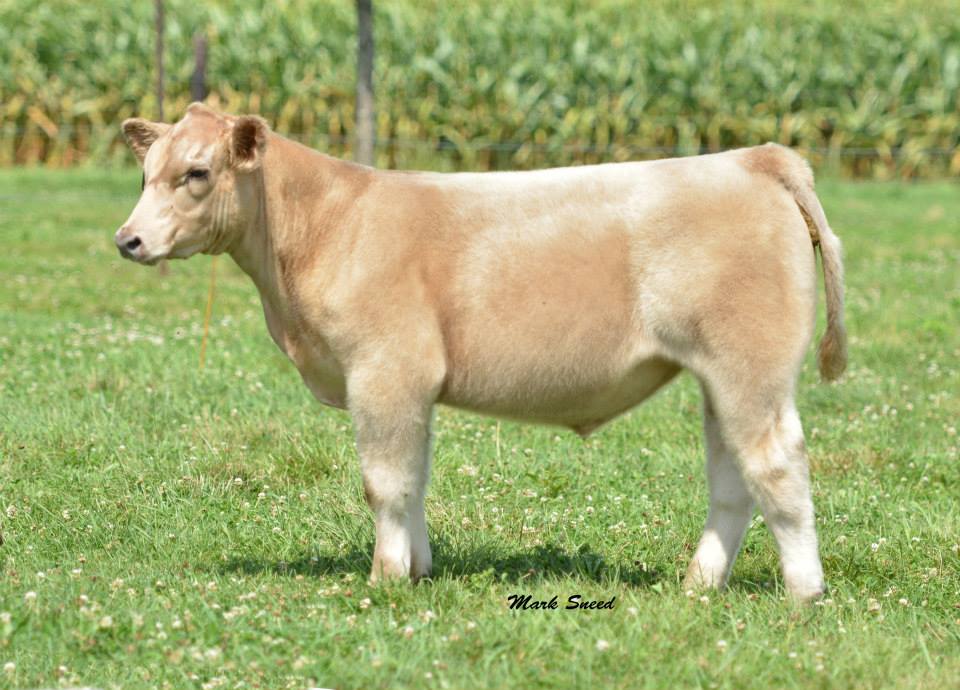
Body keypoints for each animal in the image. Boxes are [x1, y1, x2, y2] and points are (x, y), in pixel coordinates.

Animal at [116, 103, 846, 601]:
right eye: (146, 174)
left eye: (197, 172)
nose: (128, 240)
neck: (321, 230)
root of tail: (751, 158)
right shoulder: (409, 388)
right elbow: (413, 480)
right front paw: (418, 568)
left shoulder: (383, 371)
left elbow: (384, 483)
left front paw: (385, 579)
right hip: (721, 379)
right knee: (732, 479)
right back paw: (699, 583)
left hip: (749, 367)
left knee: (776, 465)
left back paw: (804, 592)